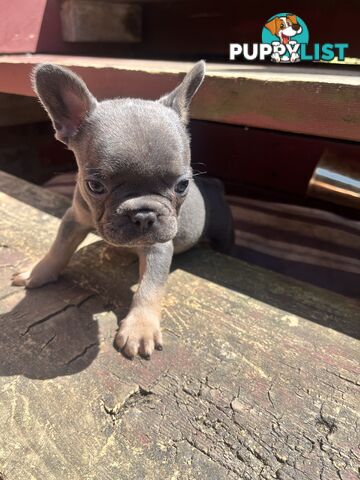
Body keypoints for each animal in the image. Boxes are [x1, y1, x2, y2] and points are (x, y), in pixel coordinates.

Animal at [11, 62, 233, 358]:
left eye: (183, 185)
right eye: (95, 186)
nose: (144, 215)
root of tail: (214, 186)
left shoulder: (158, 247)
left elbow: (149, 288)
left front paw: (140, 328)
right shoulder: (73, 219)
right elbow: (58, 249)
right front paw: (38, 272)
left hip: (224, 232)